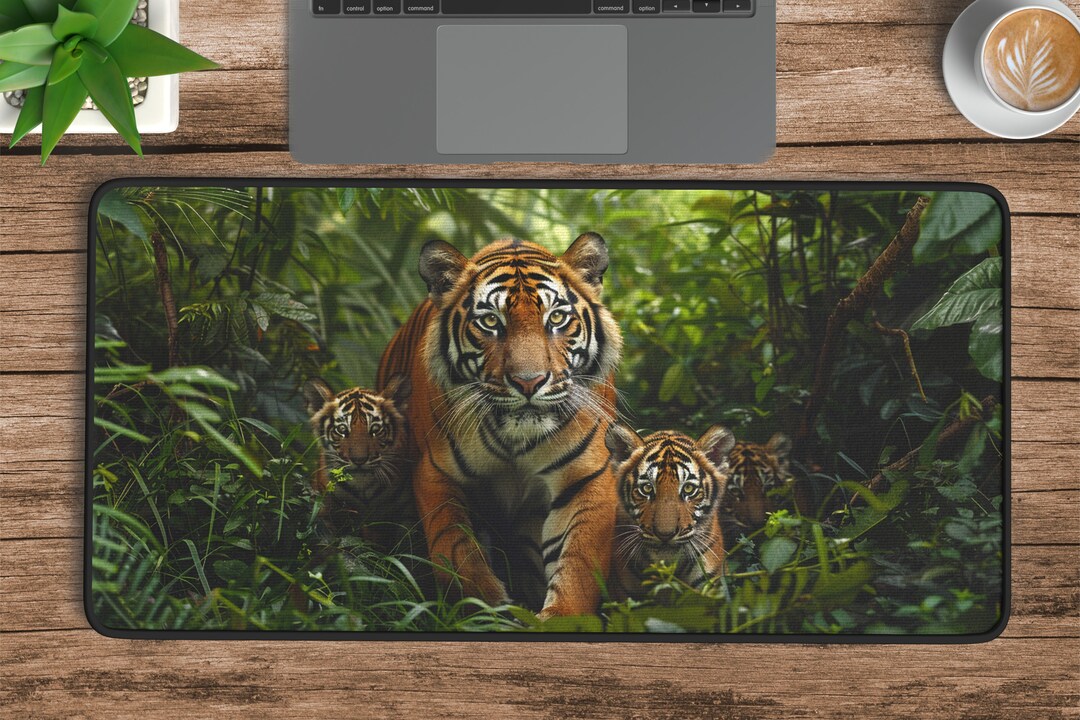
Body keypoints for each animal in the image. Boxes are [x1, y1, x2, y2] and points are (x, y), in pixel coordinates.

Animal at [302, 375, 417, 548]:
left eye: (375, 429)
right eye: (342, 430)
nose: (359, 460)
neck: (363, 487)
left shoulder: (407, 516)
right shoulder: (325, 507)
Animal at [376, 234, 623, 616]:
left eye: (557, 317)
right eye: (491, 322)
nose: (528, 382)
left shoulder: (587, 476)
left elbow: (579, 565)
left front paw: (560, 618)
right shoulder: (434, 473)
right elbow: (456, 553)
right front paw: (489, 608)